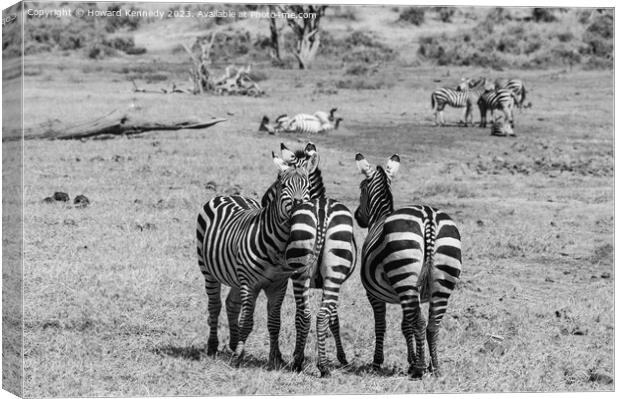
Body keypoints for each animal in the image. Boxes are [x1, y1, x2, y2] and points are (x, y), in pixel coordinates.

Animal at [195, 152, 314, 370]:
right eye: (283, 185)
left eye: (308, 186)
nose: (299, 204)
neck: (278, 244)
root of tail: (229, 195)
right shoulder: (250, 284)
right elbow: (247, 321)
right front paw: (238, 357)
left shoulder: (278, 284)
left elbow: (274, 322)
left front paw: (276, 358)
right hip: (208, 271)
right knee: (215, 306)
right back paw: (213, 346)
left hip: (235, 275)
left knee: (231, 303)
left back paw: (233, 343)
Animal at [262, 144, 358, 378]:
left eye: (278, 180)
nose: (262, 200)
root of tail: (322, 211)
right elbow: (334, 319)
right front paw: (342, 357)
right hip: (328, 274)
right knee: (317, 315)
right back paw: (317, 365)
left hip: (306, 271)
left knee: (306, 315)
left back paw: (304, 362)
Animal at [354, 152, 460, 378]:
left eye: (361, 189)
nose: (357, 217)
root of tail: (429, 217)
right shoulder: (407, 293)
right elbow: (406, 325)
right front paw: (412, 360)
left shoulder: (374, 295)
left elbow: (381, 324)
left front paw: (378, 362)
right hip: (440, 279)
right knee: (432, 325)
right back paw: (434, 367)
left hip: (404, 276)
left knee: (420, 323)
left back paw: (420, 369)